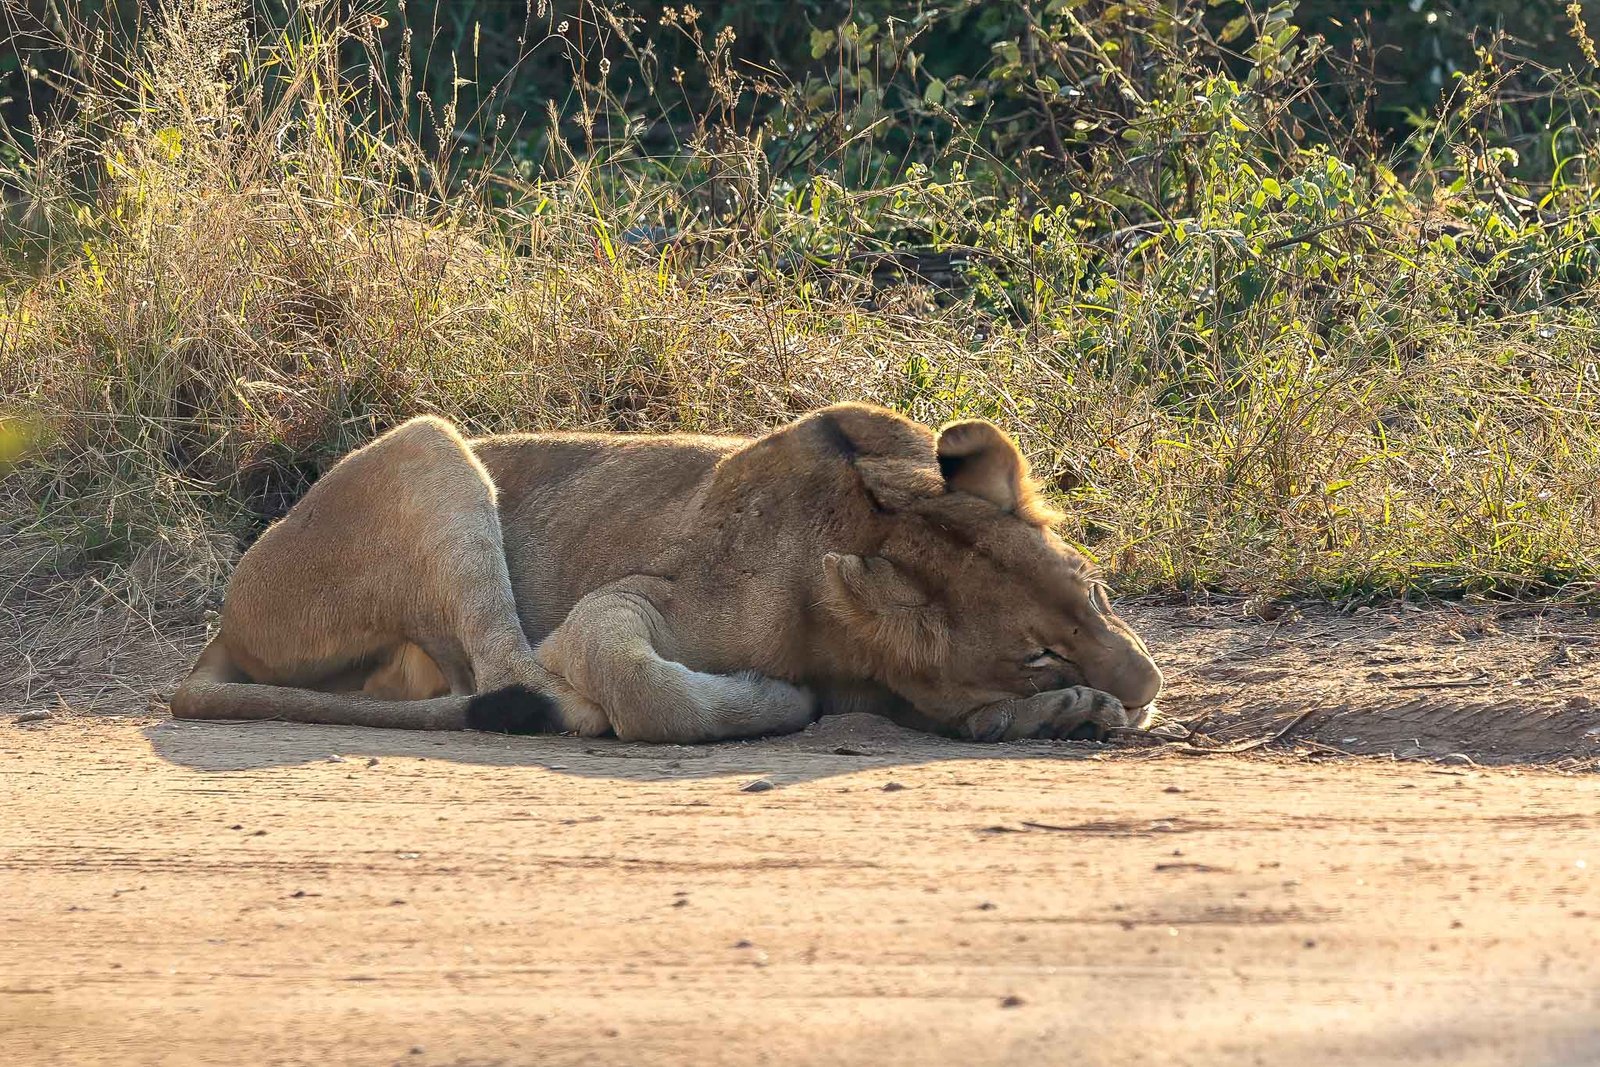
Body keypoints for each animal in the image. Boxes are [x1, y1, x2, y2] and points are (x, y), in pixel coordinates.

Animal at [171, 403, 1163, 744]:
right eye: (1035, 652)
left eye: (1097, 595)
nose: (1154, 686)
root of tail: (224, 617)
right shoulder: (617, 605)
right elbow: (649, 690)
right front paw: (777, 697)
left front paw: (1065, 713)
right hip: (429, 448)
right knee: (520, 683)